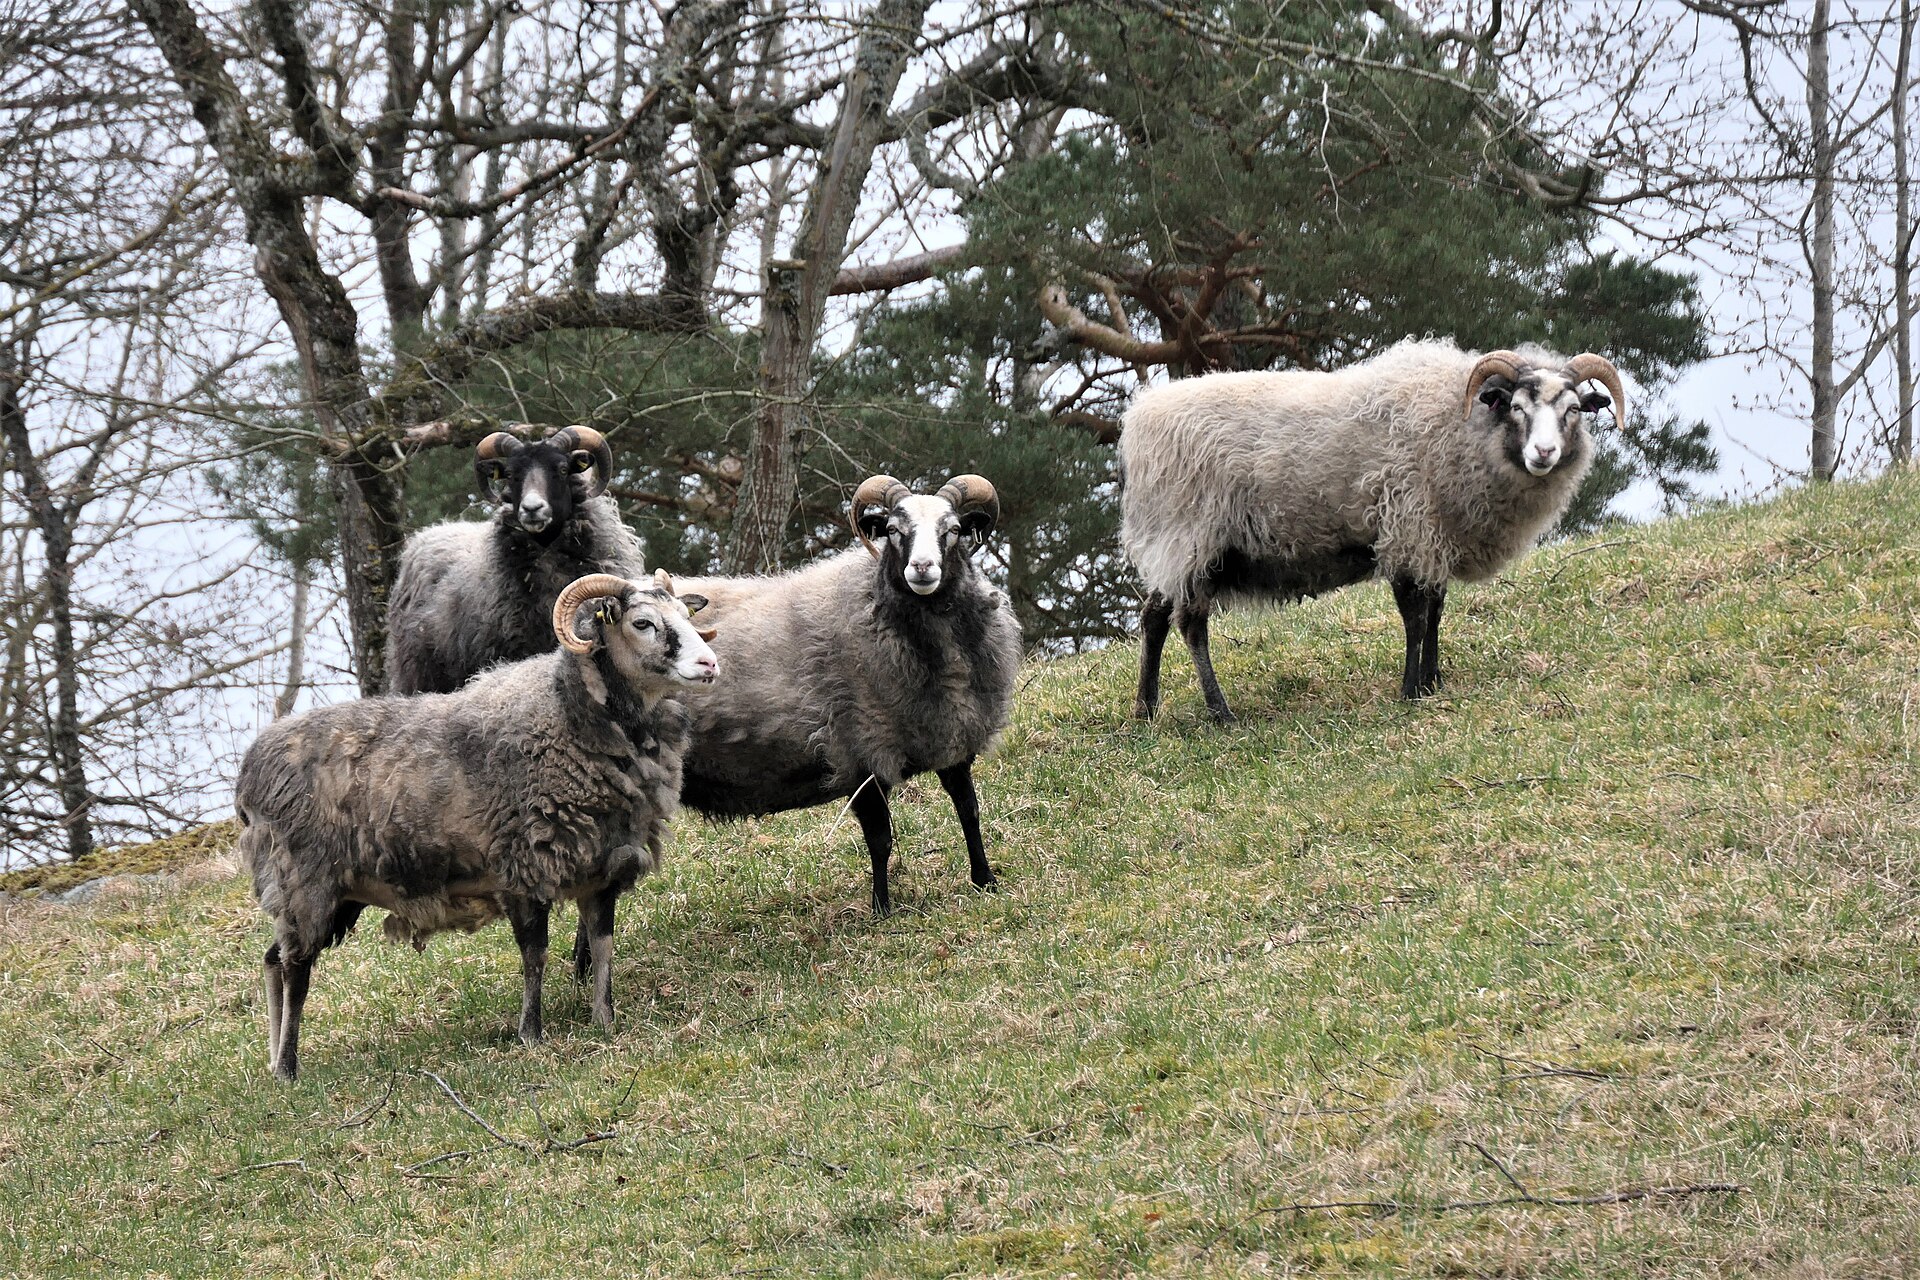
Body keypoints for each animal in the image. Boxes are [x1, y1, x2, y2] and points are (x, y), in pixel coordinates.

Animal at [235, 570, 719, 1080]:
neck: (567, 714)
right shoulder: (524, 869)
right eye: (643, 623)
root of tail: (250, 773)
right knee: (295, 969)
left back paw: (273, 1063)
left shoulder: (604, 869)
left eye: (685, 615)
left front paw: (604, 1020)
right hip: (304, 881)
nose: (709, 664)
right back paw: (288, 1067)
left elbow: (603, 946)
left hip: (328, 893)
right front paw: (531, 1035)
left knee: (272, 960)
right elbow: (535, 955)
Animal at [576, 474, 1020, 937]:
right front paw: (881, 909)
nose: (921, 569)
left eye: (953, 530)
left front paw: (985, 881)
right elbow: (880, 840)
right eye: (893, 530)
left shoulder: (952, 739)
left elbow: (969, 811)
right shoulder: (859, 751)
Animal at [1120, 340, 1626, 722]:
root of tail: (1139, 421)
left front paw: (1433, 681)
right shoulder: (1406, 527)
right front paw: (1411, 690)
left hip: (1179, 548)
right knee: (1191, 625)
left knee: (1154, 617)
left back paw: (1146, 708)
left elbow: (1436, 610)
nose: (1543, 453)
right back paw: (1220, 713)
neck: (1460, 426)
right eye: (1517, 408)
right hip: (1191, 536)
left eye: (1574, 409)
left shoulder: (1433, 538)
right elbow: (1414, 617)